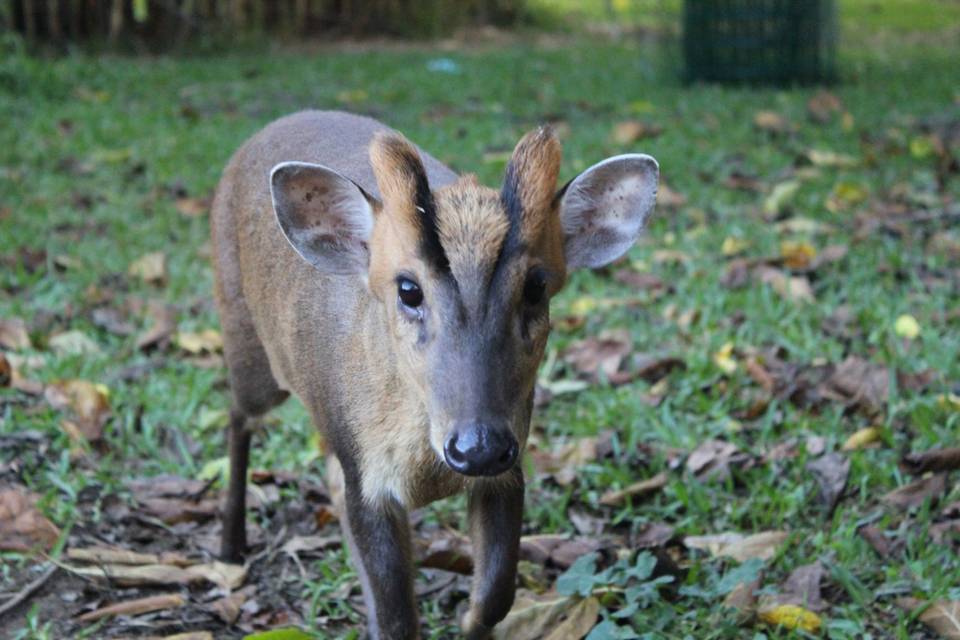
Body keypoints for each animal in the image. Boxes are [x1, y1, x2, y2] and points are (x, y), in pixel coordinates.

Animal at [210, 111, 660, 640]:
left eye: (536, 287)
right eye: (408, 289)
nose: (477, 446)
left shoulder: (508, 467)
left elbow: (495, 597)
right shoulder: (366, 476)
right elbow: (399, 618)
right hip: (247, 344)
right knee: (238, 415)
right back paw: (230, 548)